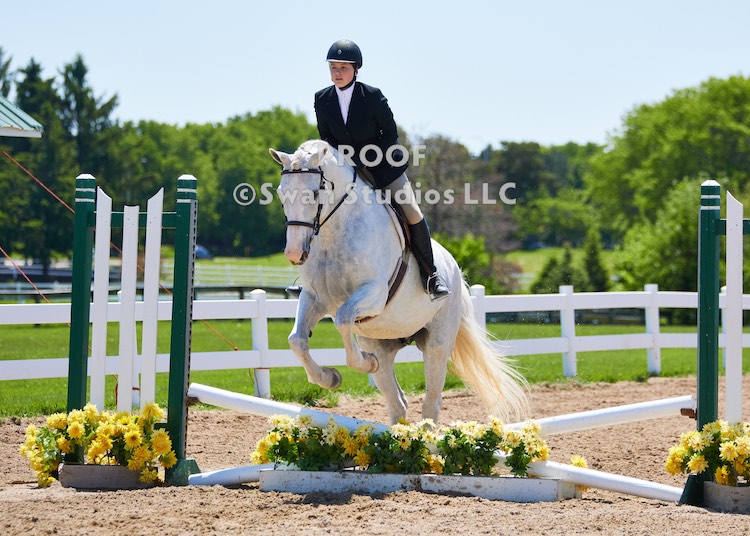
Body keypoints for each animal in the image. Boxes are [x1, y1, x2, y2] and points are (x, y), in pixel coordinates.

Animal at [269, 140, 529, 425]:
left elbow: (343, 320)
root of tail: (454, 268)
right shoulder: (314, 298)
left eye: (315, 193)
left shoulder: (374, 294)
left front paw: (364, 363)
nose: (295, 254)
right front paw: (330, 378)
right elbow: (297, 340)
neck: (332, 234)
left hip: (437, 343)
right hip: (381, 341)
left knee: (431, 401)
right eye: (281, 194)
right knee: (398, 403)